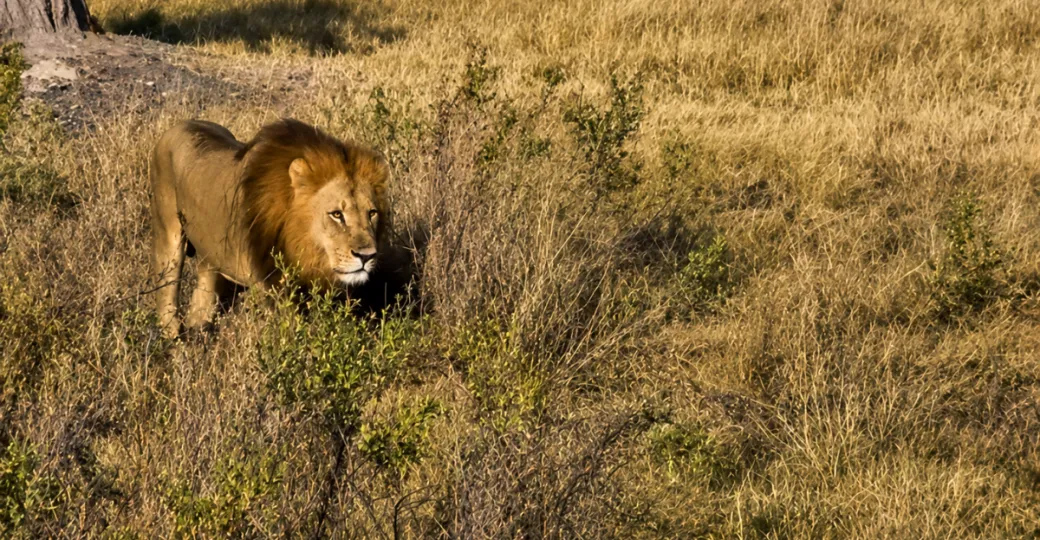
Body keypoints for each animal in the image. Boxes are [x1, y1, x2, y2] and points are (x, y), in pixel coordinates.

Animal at [150, 118, 390, 337]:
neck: (301, 244)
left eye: (372, 213)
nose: (367, 256)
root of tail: (179, 124)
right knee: (167, 293)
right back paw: (173, 340)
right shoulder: (268, 286)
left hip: (210, 252)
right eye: (337, 214)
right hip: (168, 236)